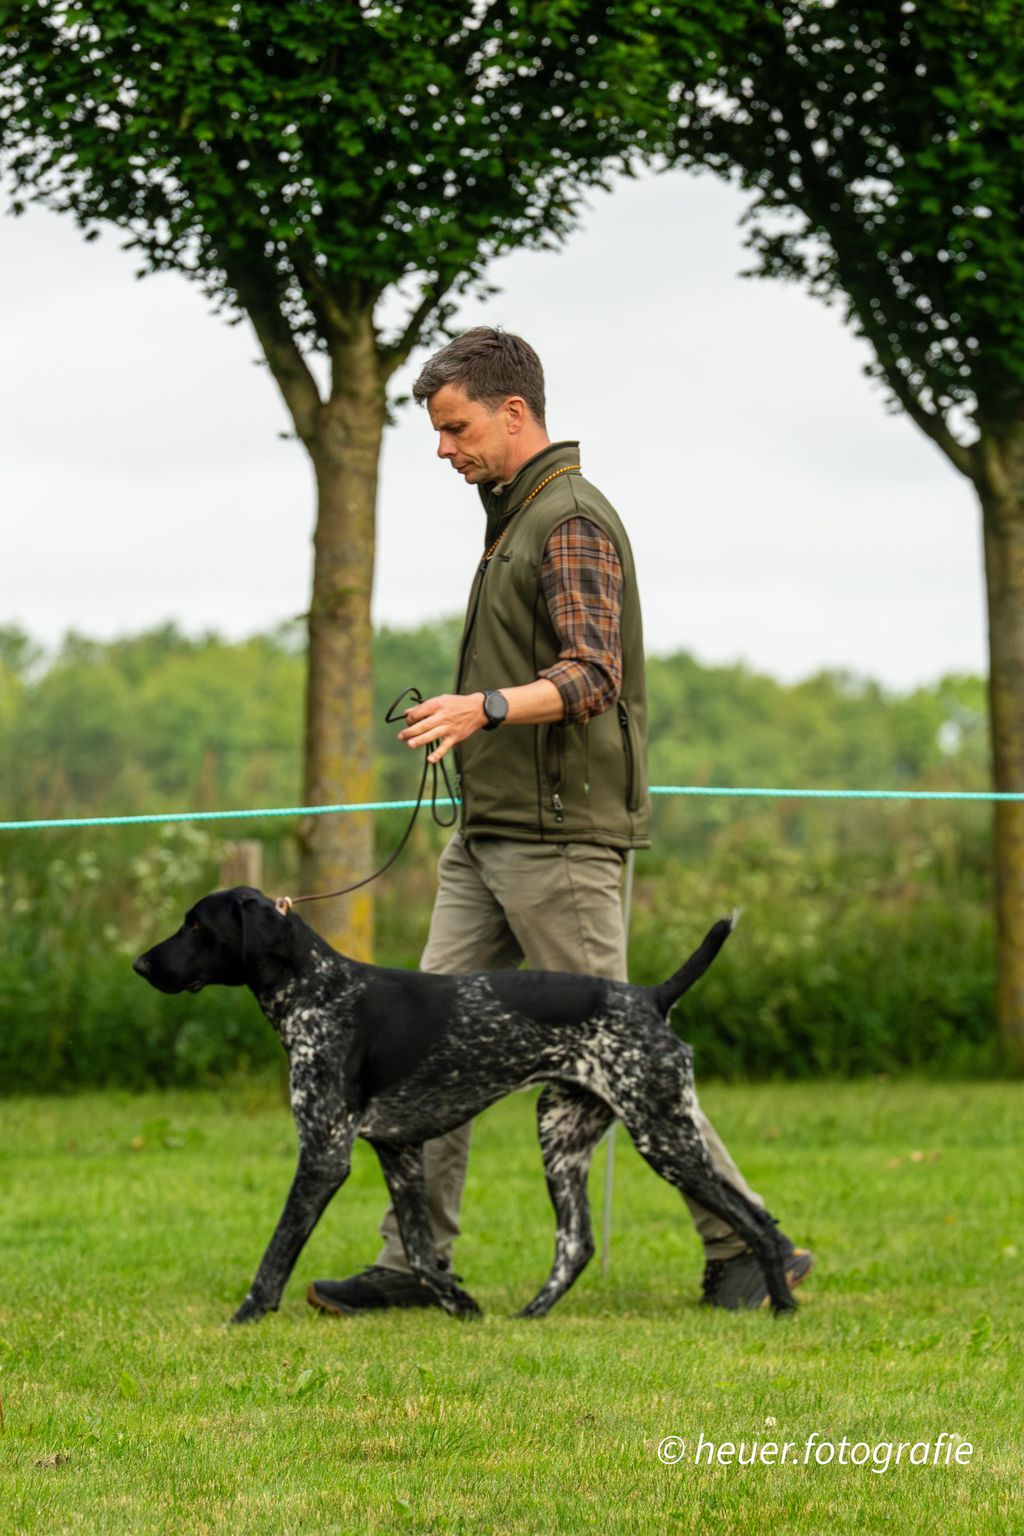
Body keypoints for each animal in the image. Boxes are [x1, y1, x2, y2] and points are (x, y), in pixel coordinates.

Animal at [133, 887, 796, 1322]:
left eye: (197, 927)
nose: (139, 964)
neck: (318, 991)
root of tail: (651, 997)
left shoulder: (324, 1154)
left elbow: (276, 1252)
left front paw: (246, 1315)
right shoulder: (398, 1151)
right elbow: (422, 1252)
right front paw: (461, 1305)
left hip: (663, 1134)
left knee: (757, 1220)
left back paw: (783, 1306)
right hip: (563, 1135)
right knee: (576, 1244)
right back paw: (529, 1315)